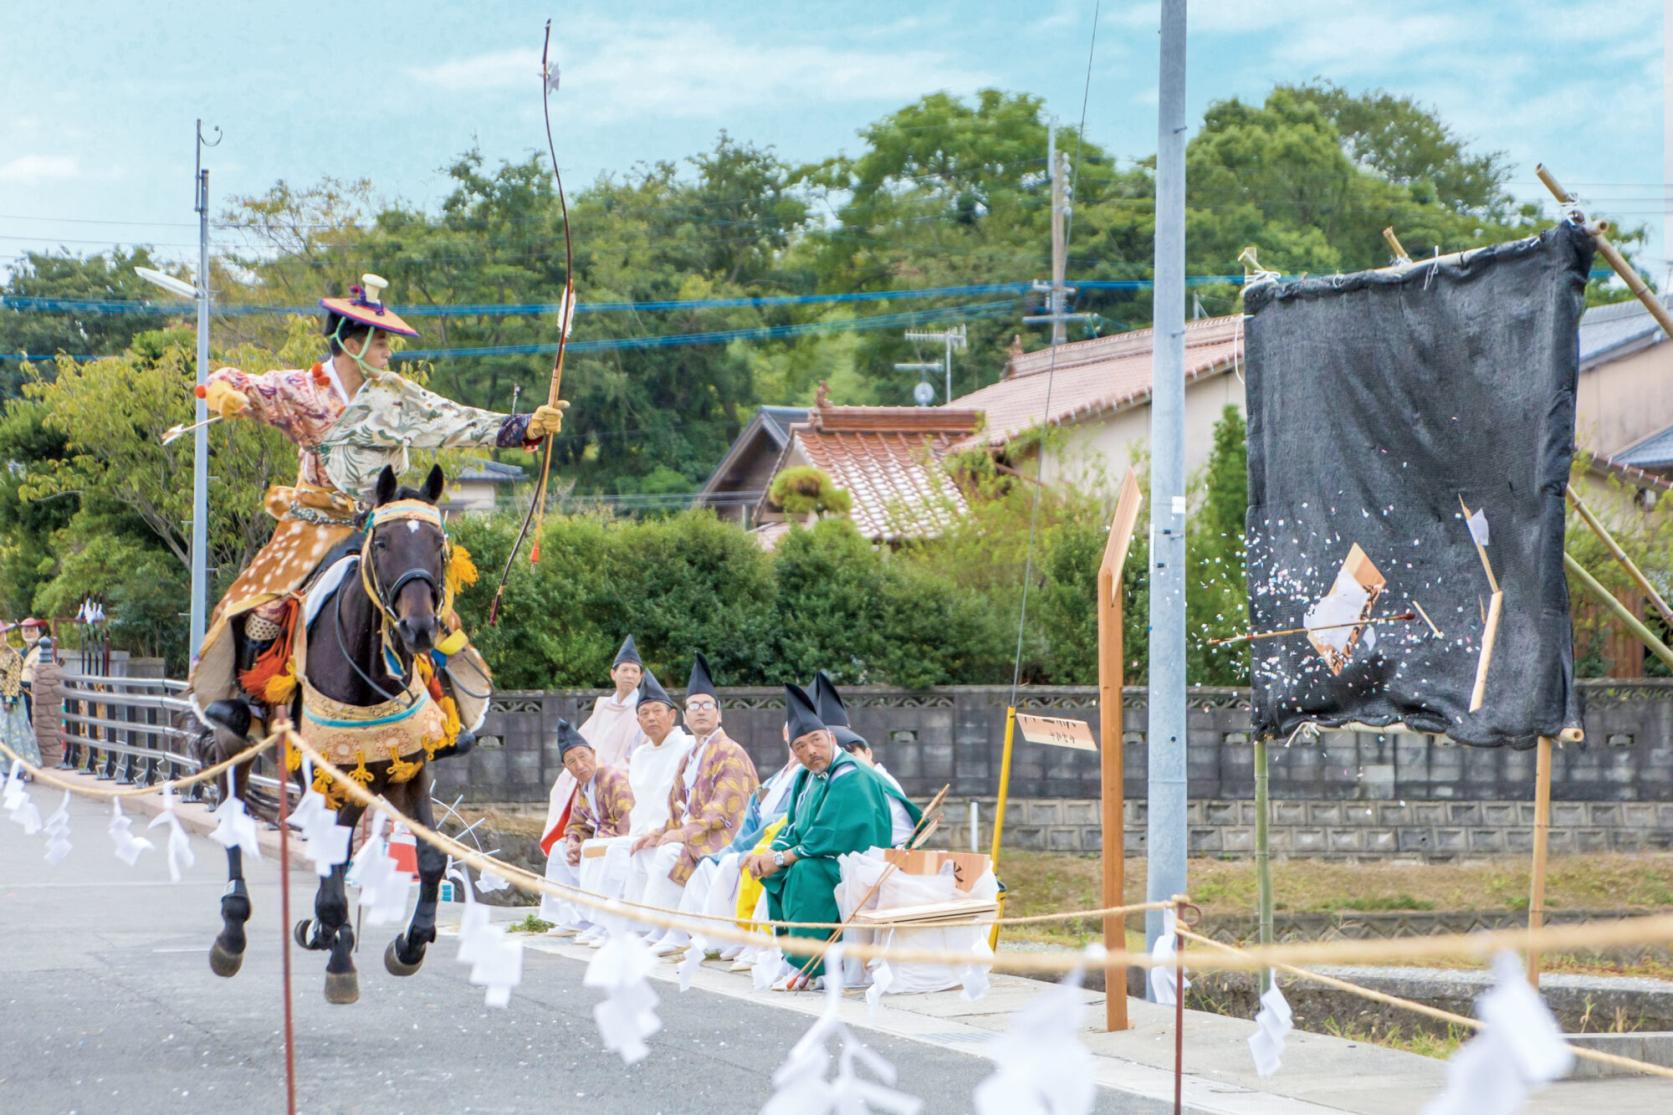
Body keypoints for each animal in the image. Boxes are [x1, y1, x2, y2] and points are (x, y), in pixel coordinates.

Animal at [204, 465, 478, 1004]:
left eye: (438, 543)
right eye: (383, 544)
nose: (418, 628)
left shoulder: (406, 770)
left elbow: (431, 858)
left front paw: (410, 944)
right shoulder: (316, 771)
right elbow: (332, 870)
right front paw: (338, 959)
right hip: (236, 742)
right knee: (235, 818)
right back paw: (233, 931)